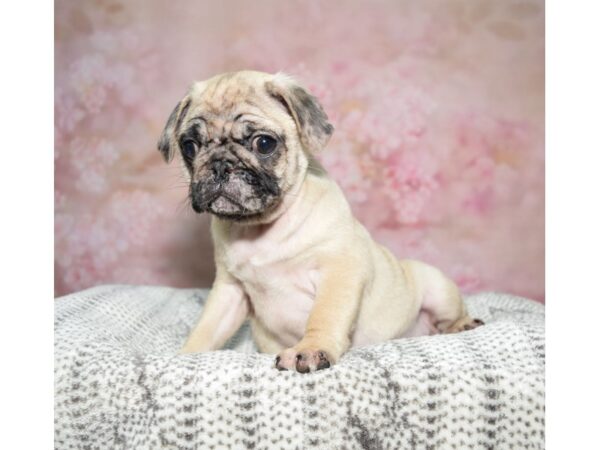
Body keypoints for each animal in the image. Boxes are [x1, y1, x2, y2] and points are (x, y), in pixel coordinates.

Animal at [158, 71, 482, 372]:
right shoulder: (230, 290)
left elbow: (325, 315)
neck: (260, 227)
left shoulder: (338, 272)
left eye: (264, 143)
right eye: (189, 146)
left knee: (451, 315)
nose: (220, 165)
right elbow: (208, 327)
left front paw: (311, 349)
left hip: (437, 288)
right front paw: (185, 355)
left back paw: (463, 324)